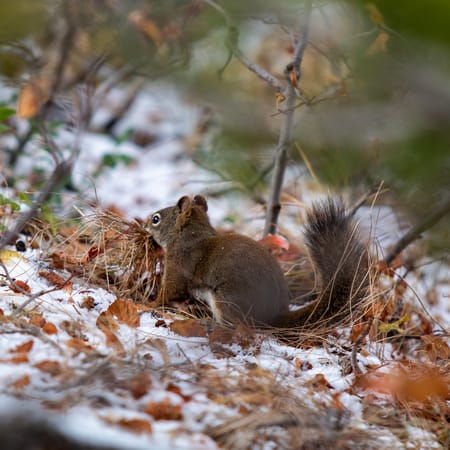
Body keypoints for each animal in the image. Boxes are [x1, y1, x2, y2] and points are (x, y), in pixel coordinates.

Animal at [148, 195, 370, 328]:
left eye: (156, 219)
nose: (145, 223)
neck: (191, 235)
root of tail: (274, 314)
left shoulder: (179, 263)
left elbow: (171, 289)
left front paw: (151, 303)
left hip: (227, 299)